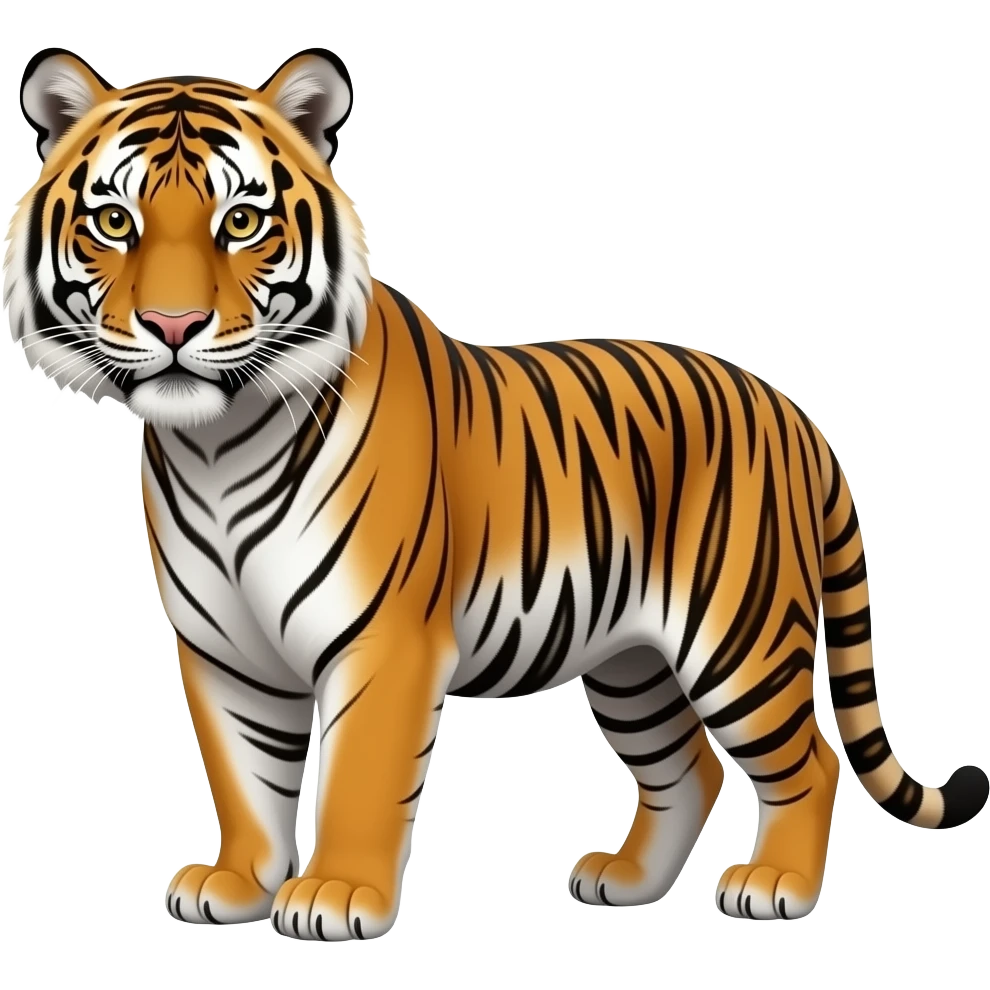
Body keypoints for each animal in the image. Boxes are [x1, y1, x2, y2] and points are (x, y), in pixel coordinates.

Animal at [4, 45, 987, 942]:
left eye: (242, 221)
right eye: (115, 221)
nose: (173, 326)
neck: (215, 445)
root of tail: (792, 411)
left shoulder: (385, 639)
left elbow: (359, 775)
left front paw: (334, 896)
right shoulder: (223, 649)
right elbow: (245, 775)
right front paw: (238, 883)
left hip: (737, 635)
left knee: (809, 762)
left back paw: (775, 887)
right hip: (631, 660)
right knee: (688, 768)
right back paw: (625, 882)